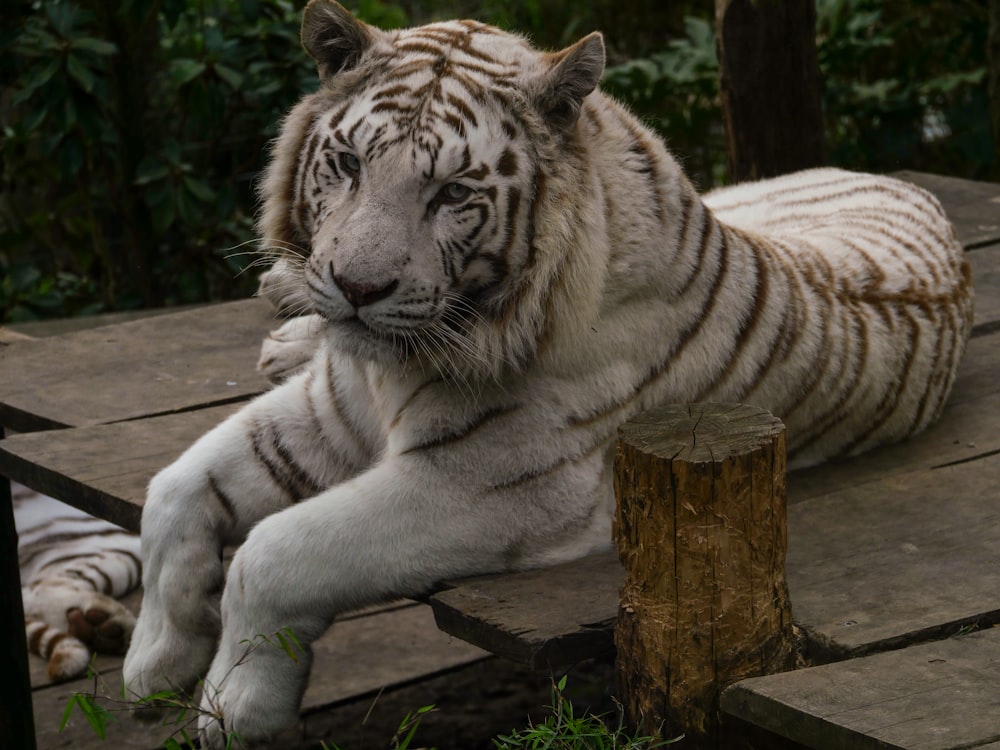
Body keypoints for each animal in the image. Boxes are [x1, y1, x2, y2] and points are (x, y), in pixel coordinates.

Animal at [123, 2, 968, 748]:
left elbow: (273, 551)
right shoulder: (328, 411)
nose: (358, 289)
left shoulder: (490, 485)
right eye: (350, 164)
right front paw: (156, 662)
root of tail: (899, 180)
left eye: (452, 193)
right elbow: (172, 490)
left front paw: (234, 705)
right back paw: (282, 311)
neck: (387, 369)